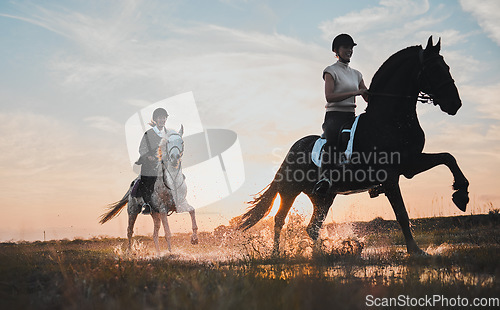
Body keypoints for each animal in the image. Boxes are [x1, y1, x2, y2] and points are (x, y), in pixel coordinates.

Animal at [240, 37, 470, 254]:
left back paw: (324, 252)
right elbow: (401, 214)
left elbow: (448, 157)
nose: (455, 104)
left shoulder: (410, 164)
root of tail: (291, 151)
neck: (390, 119)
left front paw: (461, 195)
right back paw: (277, 254)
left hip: (323, 197)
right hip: (290, 190)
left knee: (312, 227)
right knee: (280, 219)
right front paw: (415, 251)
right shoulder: (390, 176)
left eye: (446, 67)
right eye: (434, 69)